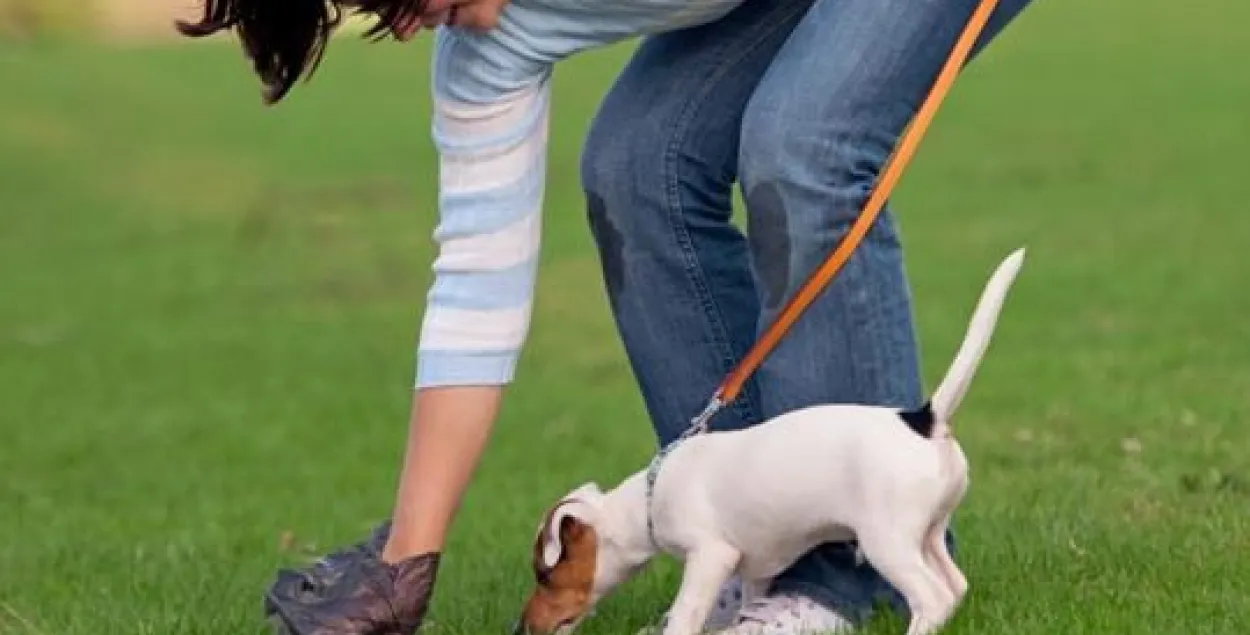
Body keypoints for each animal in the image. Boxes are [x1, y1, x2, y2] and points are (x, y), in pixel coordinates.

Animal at [515, 246, 1025, 635]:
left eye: (545, 574)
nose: (521, 628)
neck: (647, 500)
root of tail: (923, 419)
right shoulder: (757, 567)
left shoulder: (710, 556)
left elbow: (684, 616)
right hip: (929, 532)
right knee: (955, 587)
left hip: (887, 540)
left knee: (932, 597)